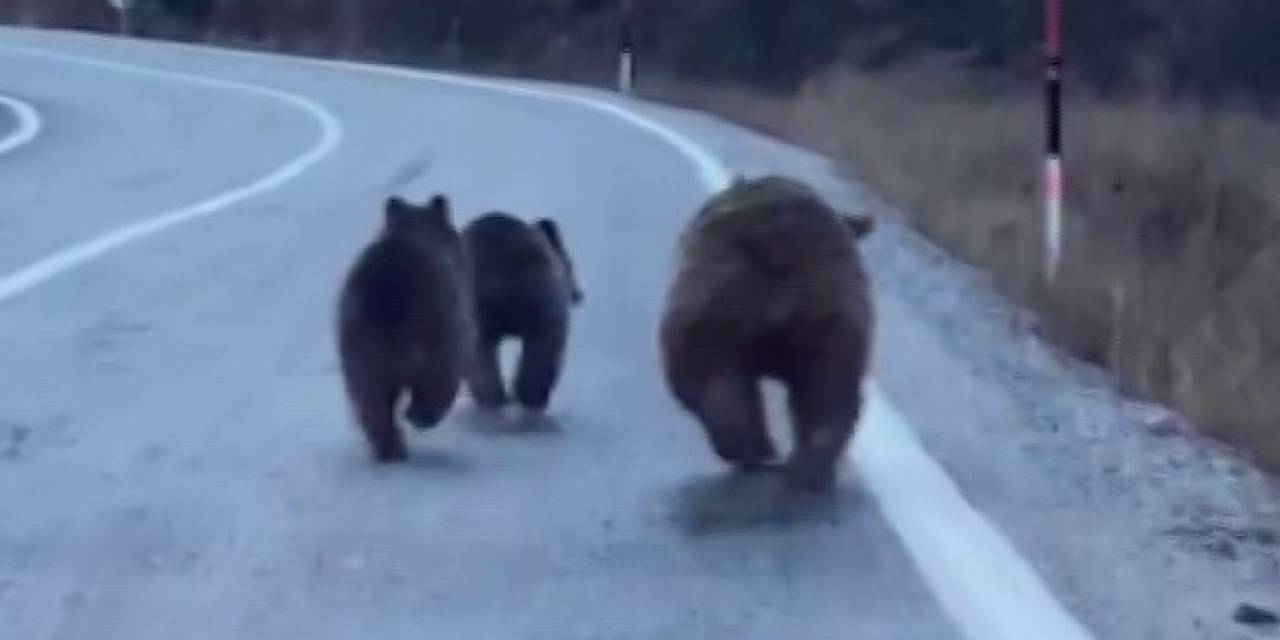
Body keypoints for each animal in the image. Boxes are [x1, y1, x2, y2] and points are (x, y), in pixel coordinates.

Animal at [335, 193, 476, 460]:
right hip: (432, 326)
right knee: (438, 374)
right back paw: (420, 416)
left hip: (358, 345)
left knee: (370, 402)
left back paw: (390, 447)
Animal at [465, 212, 586, 412]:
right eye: (572, 264)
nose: (579, 294)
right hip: (537, 291)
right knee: (543, 345)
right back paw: (528, 396)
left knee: (480, 352)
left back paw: (497, 397)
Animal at [655, 175, 875, 488]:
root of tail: (777, 238)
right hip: (829, 304)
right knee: (828, 384)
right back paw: (806, 466)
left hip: (717, 294)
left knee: (708, 373)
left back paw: (758, 452)